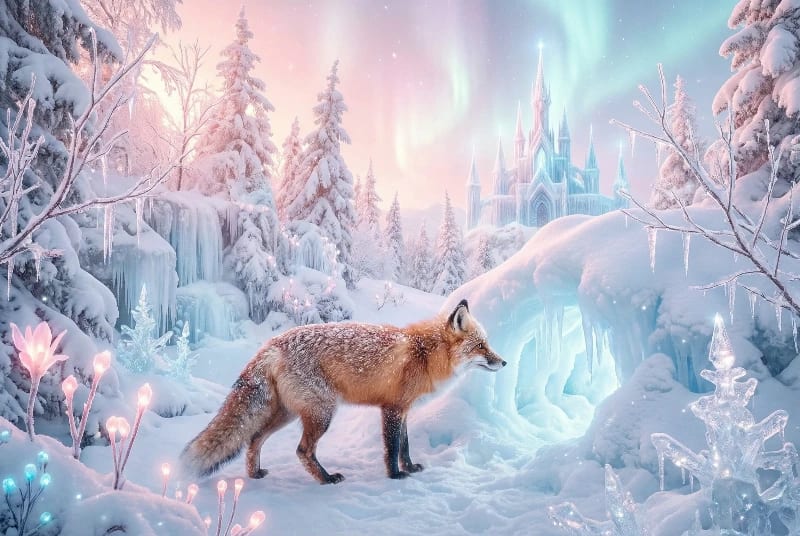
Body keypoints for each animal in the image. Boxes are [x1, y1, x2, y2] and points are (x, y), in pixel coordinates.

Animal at [179, 299, 505, 484]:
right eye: (481, 346)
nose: (503, 362)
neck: (424, 354)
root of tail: (271, 344)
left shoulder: (403, 409)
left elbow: (405, 446)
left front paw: (410, 468)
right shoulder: (392, 410)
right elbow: (392, 449)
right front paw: (395, 477)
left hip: (287, 414)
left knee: (254, 440)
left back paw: (255, 474)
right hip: (322, 413)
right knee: (302, 450)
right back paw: (325, 479)